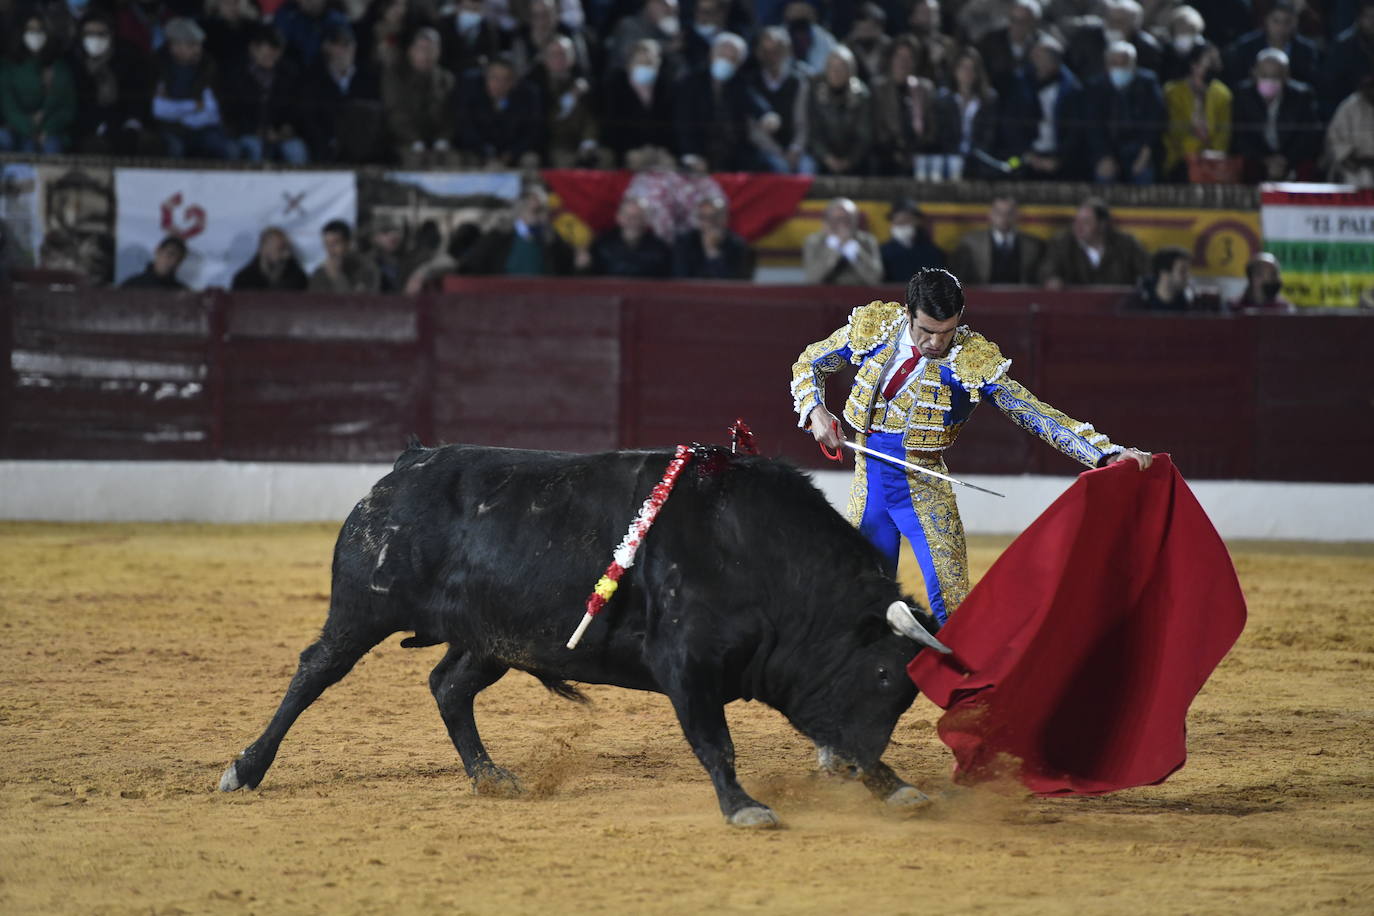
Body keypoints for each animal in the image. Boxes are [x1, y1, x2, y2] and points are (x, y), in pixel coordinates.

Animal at [219, 444, 950, 829]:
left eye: (907, 693)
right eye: (883, 675)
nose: (859, 768)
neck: (761, 555)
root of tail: (406, 466)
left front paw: (897, 786)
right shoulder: (686, 663)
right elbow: (715, 742)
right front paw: (746, 808)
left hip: (496, 639)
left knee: (448, 686)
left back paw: (491, 777)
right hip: (361, 612)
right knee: (314, 671)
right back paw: (244, 769)